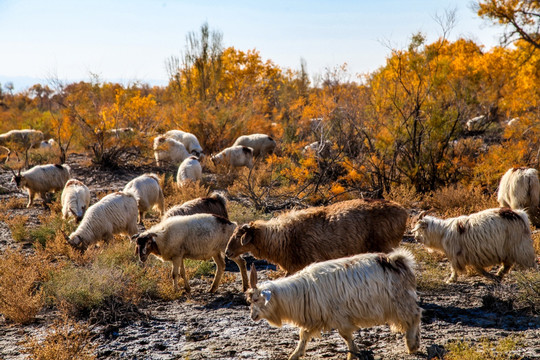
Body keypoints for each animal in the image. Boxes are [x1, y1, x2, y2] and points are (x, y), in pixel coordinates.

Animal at [248, 248, 422, 360]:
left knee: (414, 316)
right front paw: (294, 355)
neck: (301, 291)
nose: (253, 316)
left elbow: (346, 336)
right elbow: (304, 335)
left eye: (256, 299)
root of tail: (398, 260)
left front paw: (352, 355)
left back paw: (411, 345)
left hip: (399, 301)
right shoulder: (314, 318)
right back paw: (417, 342)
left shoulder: (339, 317)